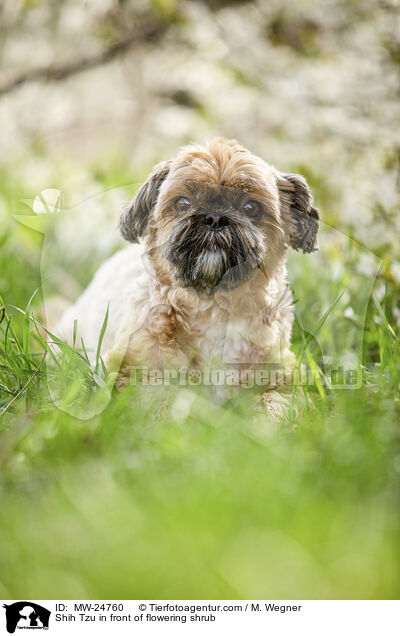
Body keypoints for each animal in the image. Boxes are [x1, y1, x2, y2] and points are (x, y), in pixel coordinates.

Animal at [55, 137, 318, 410]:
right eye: (182, 203)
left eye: (251, 207)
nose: (215, 218)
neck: (213, 307)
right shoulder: (125, 369)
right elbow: (169, 397)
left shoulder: (284, 377)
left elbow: (276, 403)